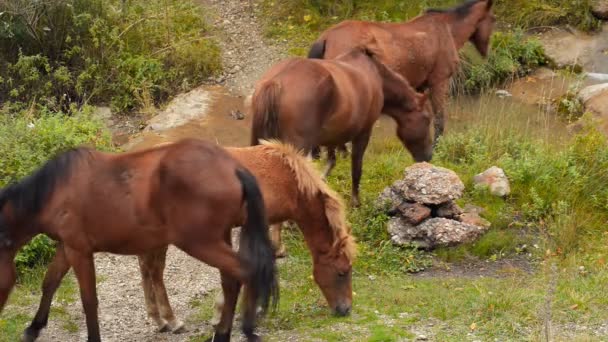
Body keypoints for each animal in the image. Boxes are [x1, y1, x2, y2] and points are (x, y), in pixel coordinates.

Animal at [0, 139, 278, 342]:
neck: (55, 191)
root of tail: (234, 168)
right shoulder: (67, 247)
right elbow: (50, 282)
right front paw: (33, 328)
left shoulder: (79, 251)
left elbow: (89, 300)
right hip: (219, 239)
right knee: (230, 281)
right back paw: (224, 332)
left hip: (201, 243)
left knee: (246, 272)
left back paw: (243, 329)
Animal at [132, 140, 356, 334]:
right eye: (342, 272)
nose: (345, 309)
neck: (284, 179)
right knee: (155, 271)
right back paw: (171, 320)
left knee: (147, 268)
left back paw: (158, 319)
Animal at [248, 45, 432, 206]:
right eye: (427, 119)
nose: (428, 156)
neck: (376, 76)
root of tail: (276, 81)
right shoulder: (363, 133)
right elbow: (356, 167)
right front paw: (355, 202)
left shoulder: (331, 137)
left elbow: (330, 162)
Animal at [312, 0, 496, 146]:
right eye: (493, 19)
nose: (487, 52)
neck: (448, 30)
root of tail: (326, 37)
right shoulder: (439, 81)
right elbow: (439, 120)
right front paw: (437, 147)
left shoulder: (421, 87)